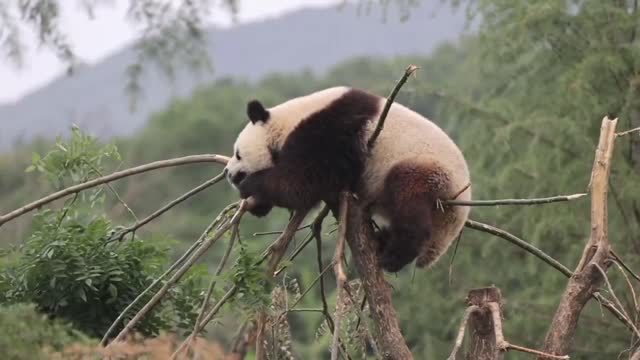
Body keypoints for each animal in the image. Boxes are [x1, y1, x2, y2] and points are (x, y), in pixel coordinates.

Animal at [225, 86, 470, 272]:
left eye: (238, 154)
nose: (227, 172)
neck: (289, 121)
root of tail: (459, 210)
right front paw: (259, 204)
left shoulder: (331, 131)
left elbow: (300, 183)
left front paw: (250, 186)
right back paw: (382, 241)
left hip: (427, 169)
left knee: (408, 196)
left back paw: (392, 256)